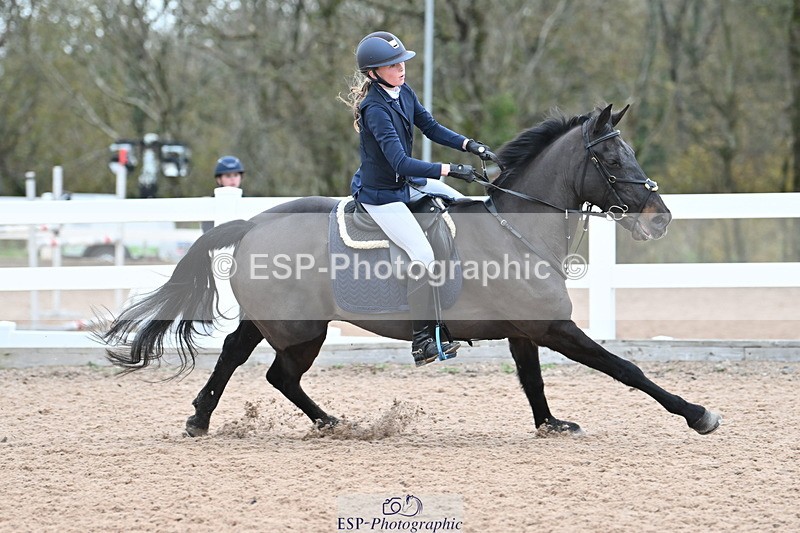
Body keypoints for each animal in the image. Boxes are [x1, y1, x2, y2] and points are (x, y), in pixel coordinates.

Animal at [101, 104, 721, 437]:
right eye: (612, 158)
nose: (660, 218)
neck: (515, 230)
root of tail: (250, 222)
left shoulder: (527, 330)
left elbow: (533, 379)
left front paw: (550, 424)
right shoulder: (553, 327)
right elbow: (626, 368)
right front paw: (697, 414)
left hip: (281, 322)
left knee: (247, 360)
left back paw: (233, 419)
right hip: (302, 329)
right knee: (272, 371)